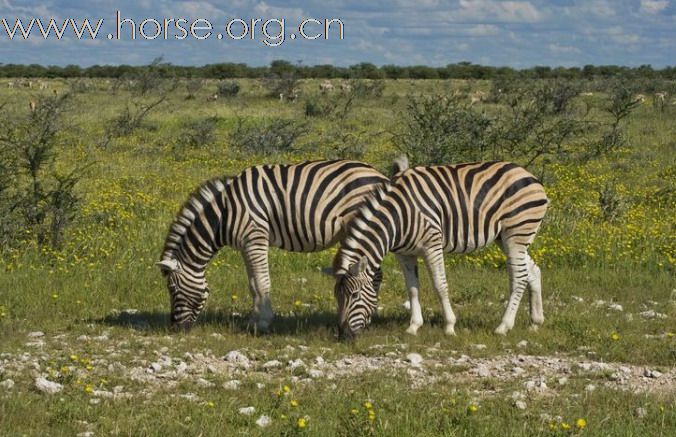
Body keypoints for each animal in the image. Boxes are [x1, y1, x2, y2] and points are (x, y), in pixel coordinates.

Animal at [156, 159, 388, 330]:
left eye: (172, 289)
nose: (175, 328)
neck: (223, 215)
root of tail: (379, 175)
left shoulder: (255, 237)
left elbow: (261, 282)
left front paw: (262, 322)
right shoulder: (246, 244)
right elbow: (252, 283)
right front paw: (254, 320)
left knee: (375, 273)